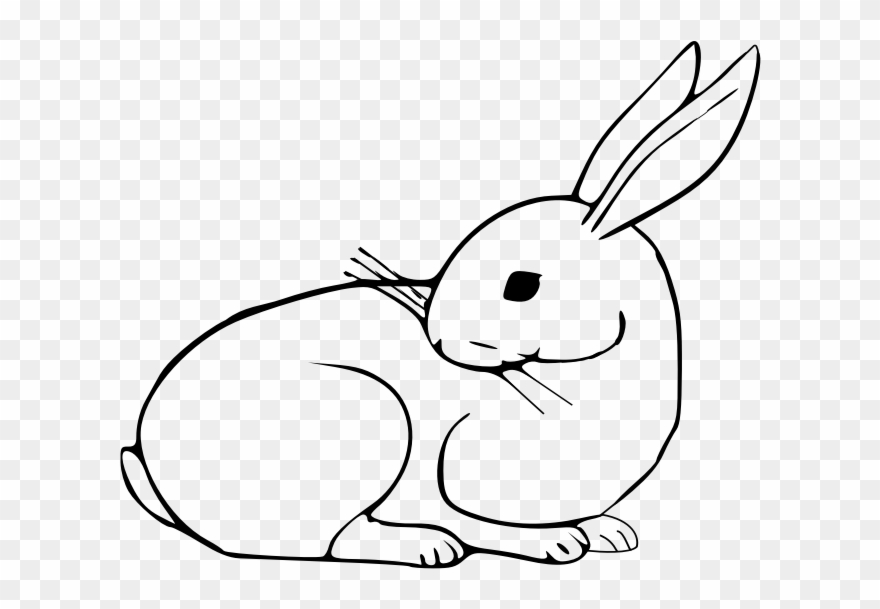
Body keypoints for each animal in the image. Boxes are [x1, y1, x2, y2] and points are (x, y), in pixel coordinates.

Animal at [121, 42, 760, 567]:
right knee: (332, 540)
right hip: (368, 419)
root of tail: (152, 466)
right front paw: (554, 542)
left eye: (522, 284)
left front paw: (608, 531)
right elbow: (468, 519)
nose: (438, 342)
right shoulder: (437, 476)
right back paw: (423, 548)